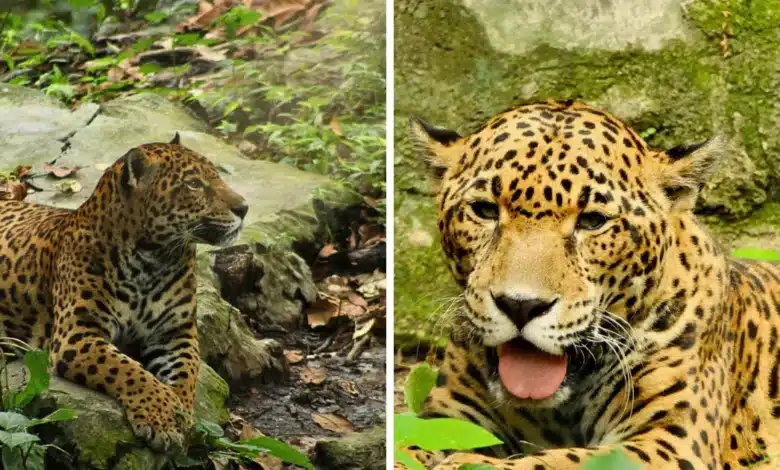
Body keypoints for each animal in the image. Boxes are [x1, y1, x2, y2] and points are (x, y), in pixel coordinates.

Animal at [0, 134, 248, 453]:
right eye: (194, 184)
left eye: (216, 176)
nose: (244, 208)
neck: (153, 259)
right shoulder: (77, 334)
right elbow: (128, 370)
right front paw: (162, 414)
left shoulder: (176, 332)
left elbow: (187, 371)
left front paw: (180, 410)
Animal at [401, 100, 780, 469]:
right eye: (484, 210)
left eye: (593, 221)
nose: (521, 305)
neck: (558, 412)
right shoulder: (448, 415)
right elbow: (407, 444)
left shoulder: (673, 440)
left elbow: (558, 461)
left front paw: (467, 462)